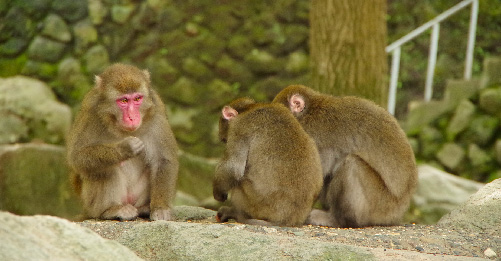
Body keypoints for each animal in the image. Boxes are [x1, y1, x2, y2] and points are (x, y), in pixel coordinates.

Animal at [67, 63, 178, 219]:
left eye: (137, 99)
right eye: (124, 101)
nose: (132, 117)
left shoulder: (157, 114)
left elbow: (163, 160)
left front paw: (160, 208)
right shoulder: (90, 112)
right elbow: (77, 157)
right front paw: (124, 148)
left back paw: (144, 208)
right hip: (91, 206)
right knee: (106, 167)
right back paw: (111, 210)